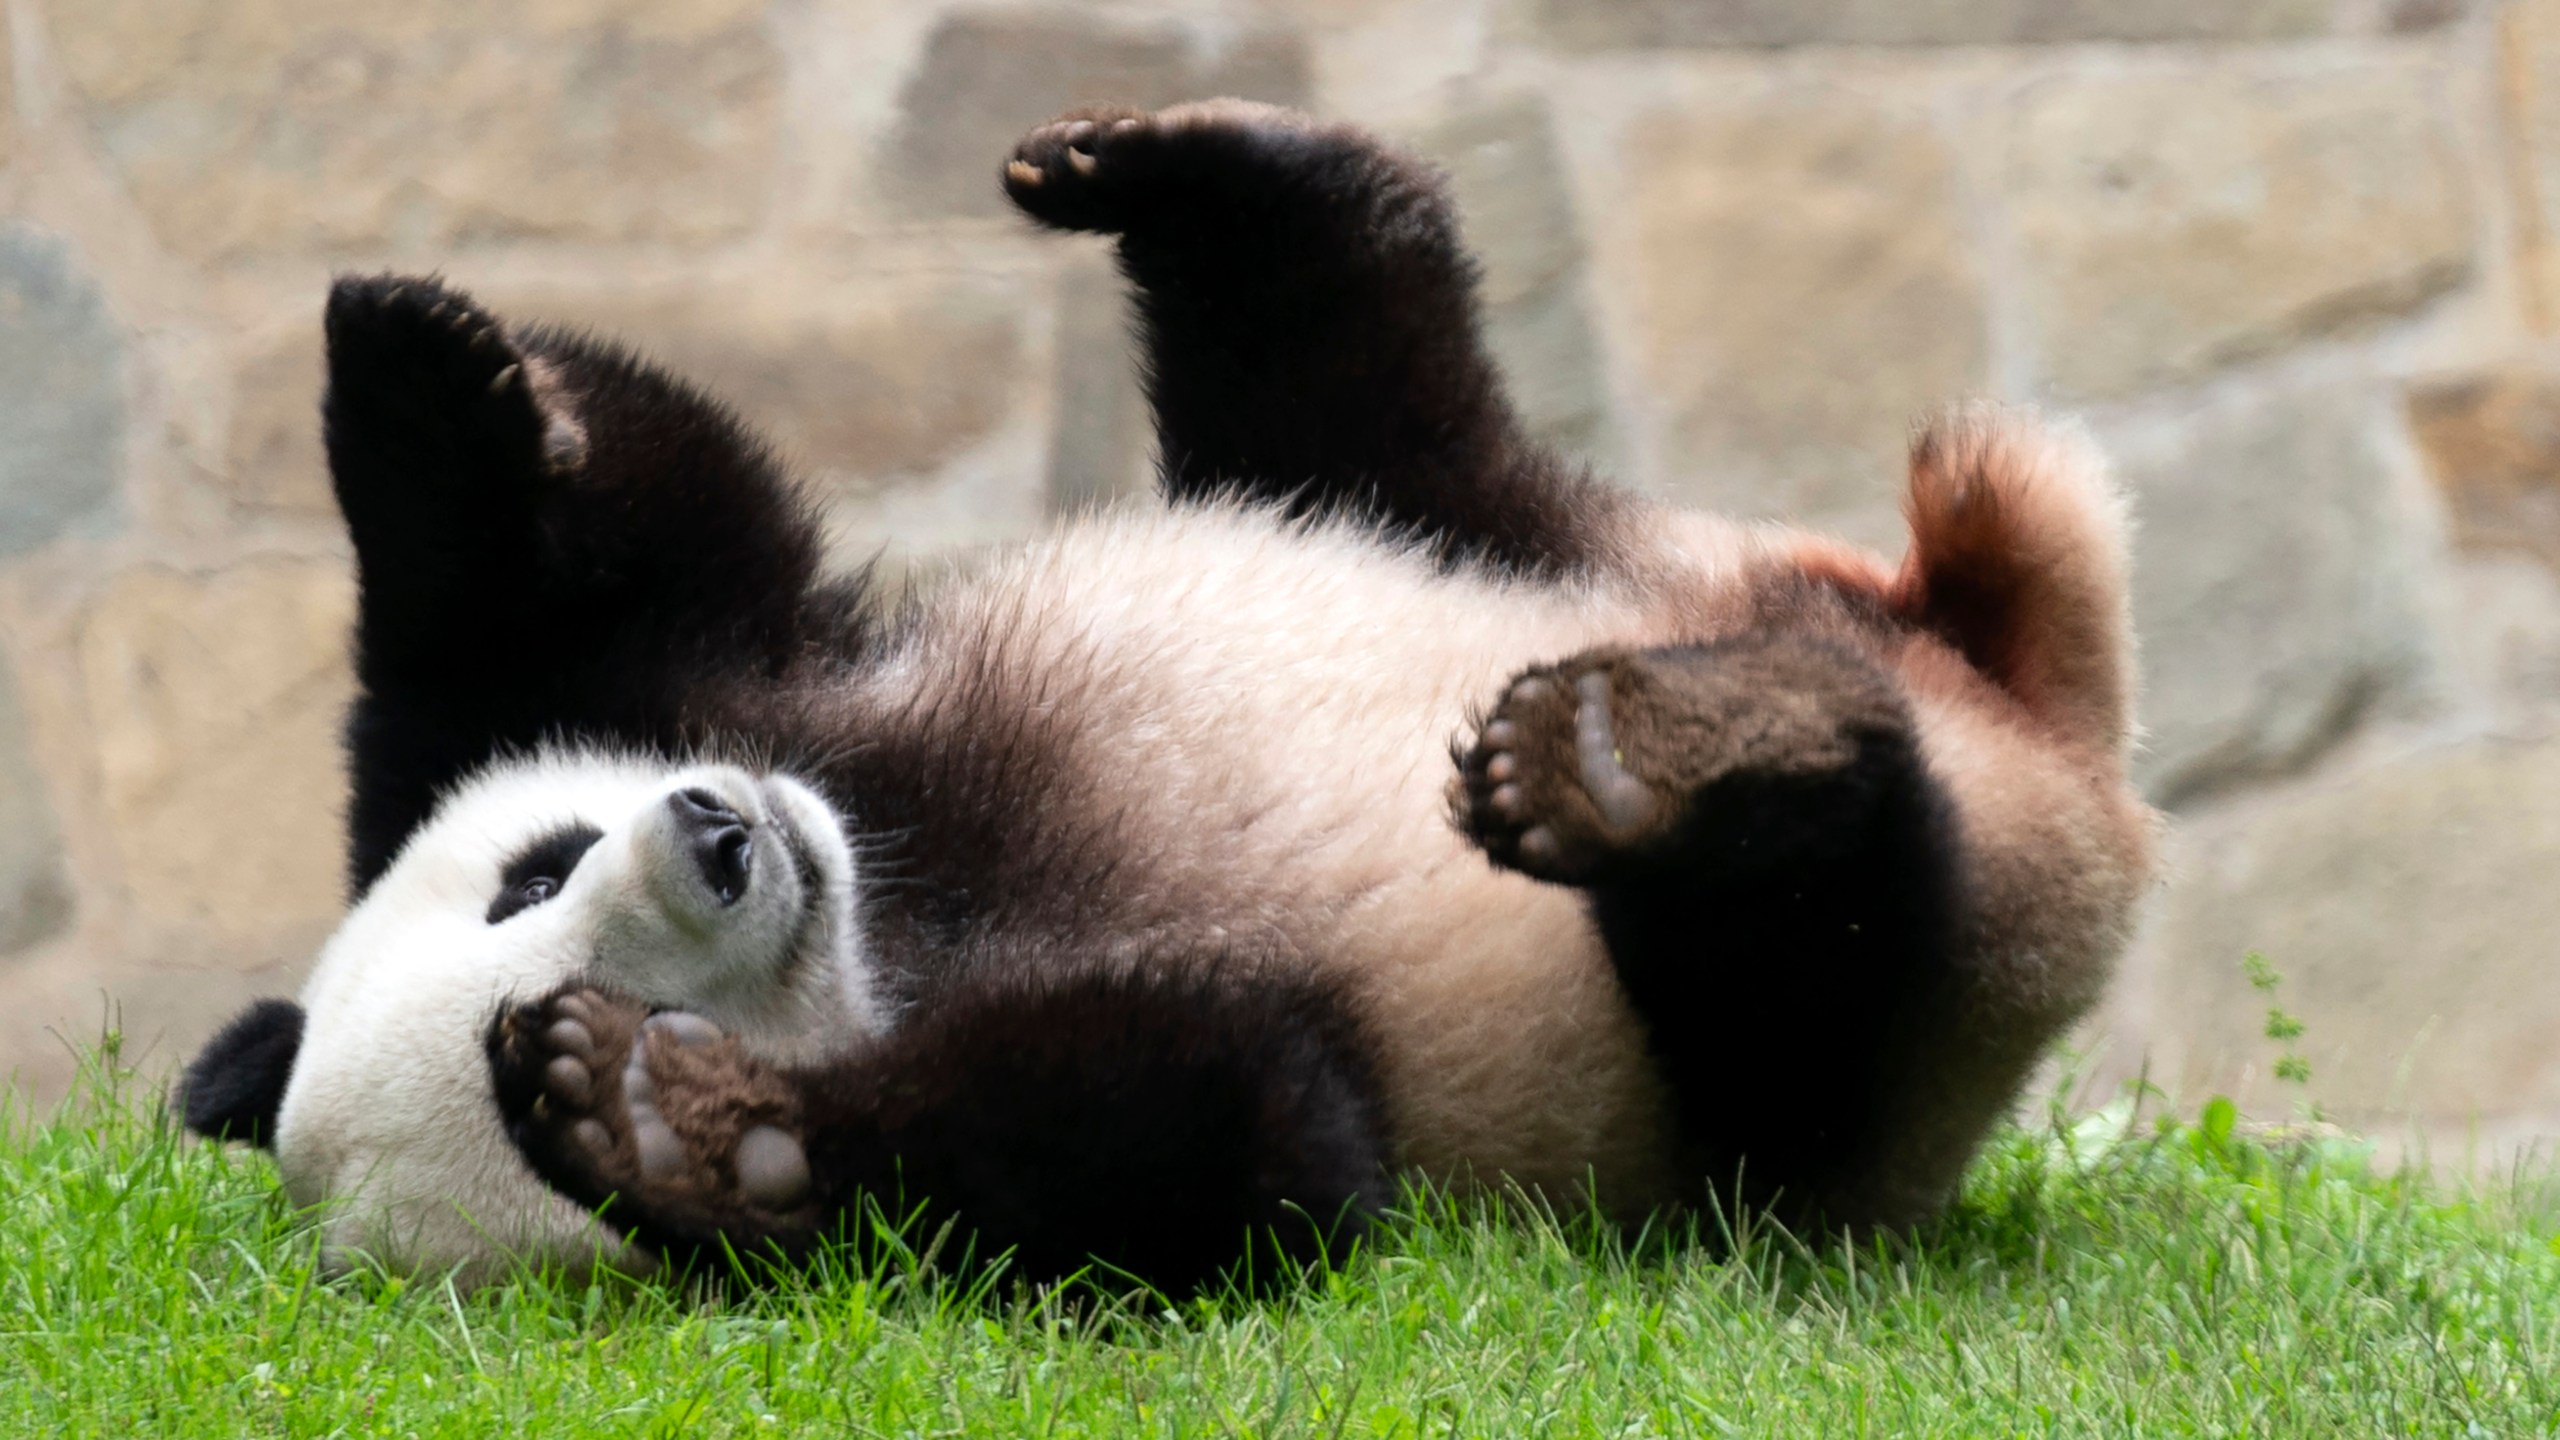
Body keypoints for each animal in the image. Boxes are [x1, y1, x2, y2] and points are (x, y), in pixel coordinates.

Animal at [170, 103, 2150, 1291]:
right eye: (580, 958)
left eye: (533, 870)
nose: (722, 838)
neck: (904, 901)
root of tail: (2038, 716)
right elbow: (1239, 1144)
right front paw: (679, 1127)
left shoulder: (737, 689)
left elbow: (612, 573)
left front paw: (422, 374)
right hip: (1828, 1077)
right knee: (1815, 967)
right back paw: (1669, 769)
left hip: (1548, 539)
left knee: (1365, 394)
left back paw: (1197, 174)